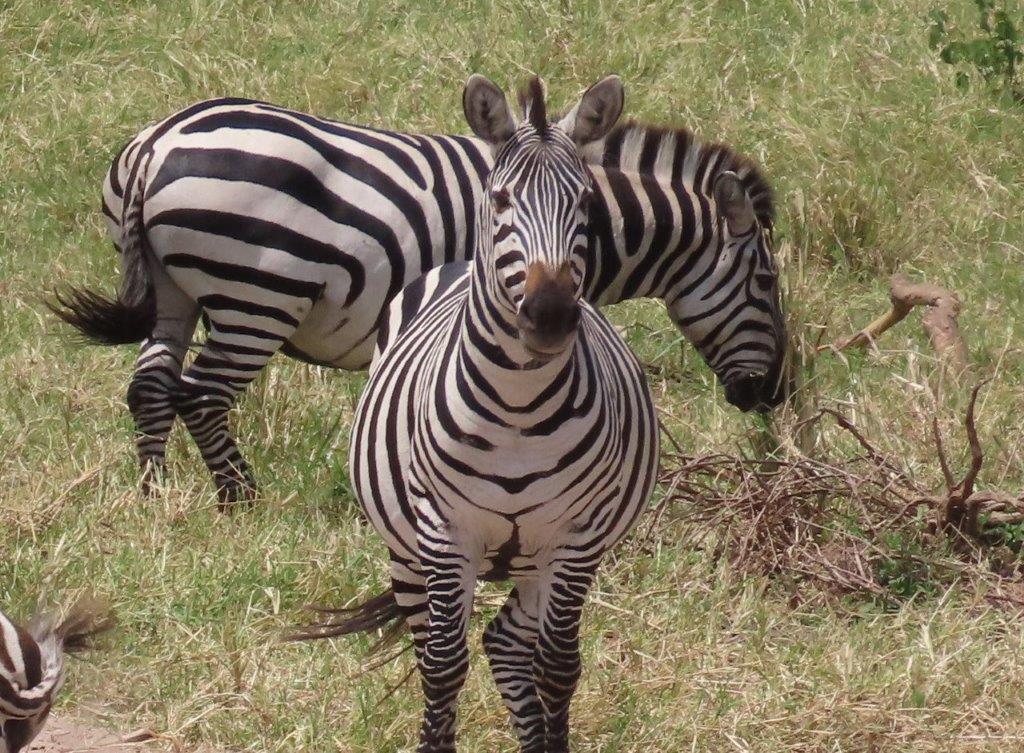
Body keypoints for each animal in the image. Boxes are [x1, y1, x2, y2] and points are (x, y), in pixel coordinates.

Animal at [51, 83, 787, 506]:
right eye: (767, 283)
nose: (774, 396)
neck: (593, 224)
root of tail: (157, 143)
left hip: (174, 290)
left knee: (149, 386)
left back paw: (154, 495)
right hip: (256, 296)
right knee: (202, 395)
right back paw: (241, 500)